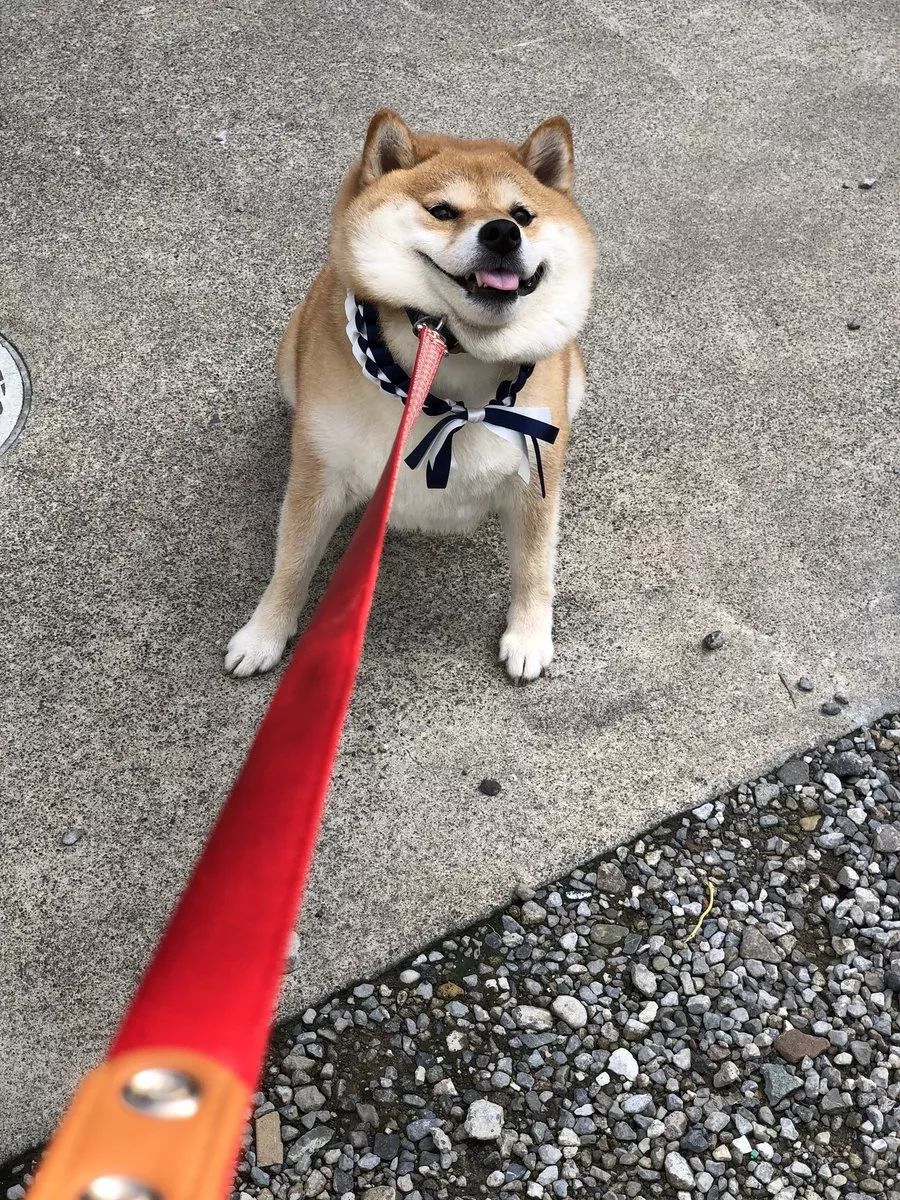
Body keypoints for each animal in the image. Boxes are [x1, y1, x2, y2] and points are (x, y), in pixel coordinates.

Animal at [225, 113, 595, 686]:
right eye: (441, 210)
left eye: (523, 215)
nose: (502, 232)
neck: (450, 370)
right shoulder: (319, 472)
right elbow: (292, 560)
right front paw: (263, 634)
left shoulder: (536, 473)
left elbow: (535, 566)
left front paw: (530, 637)